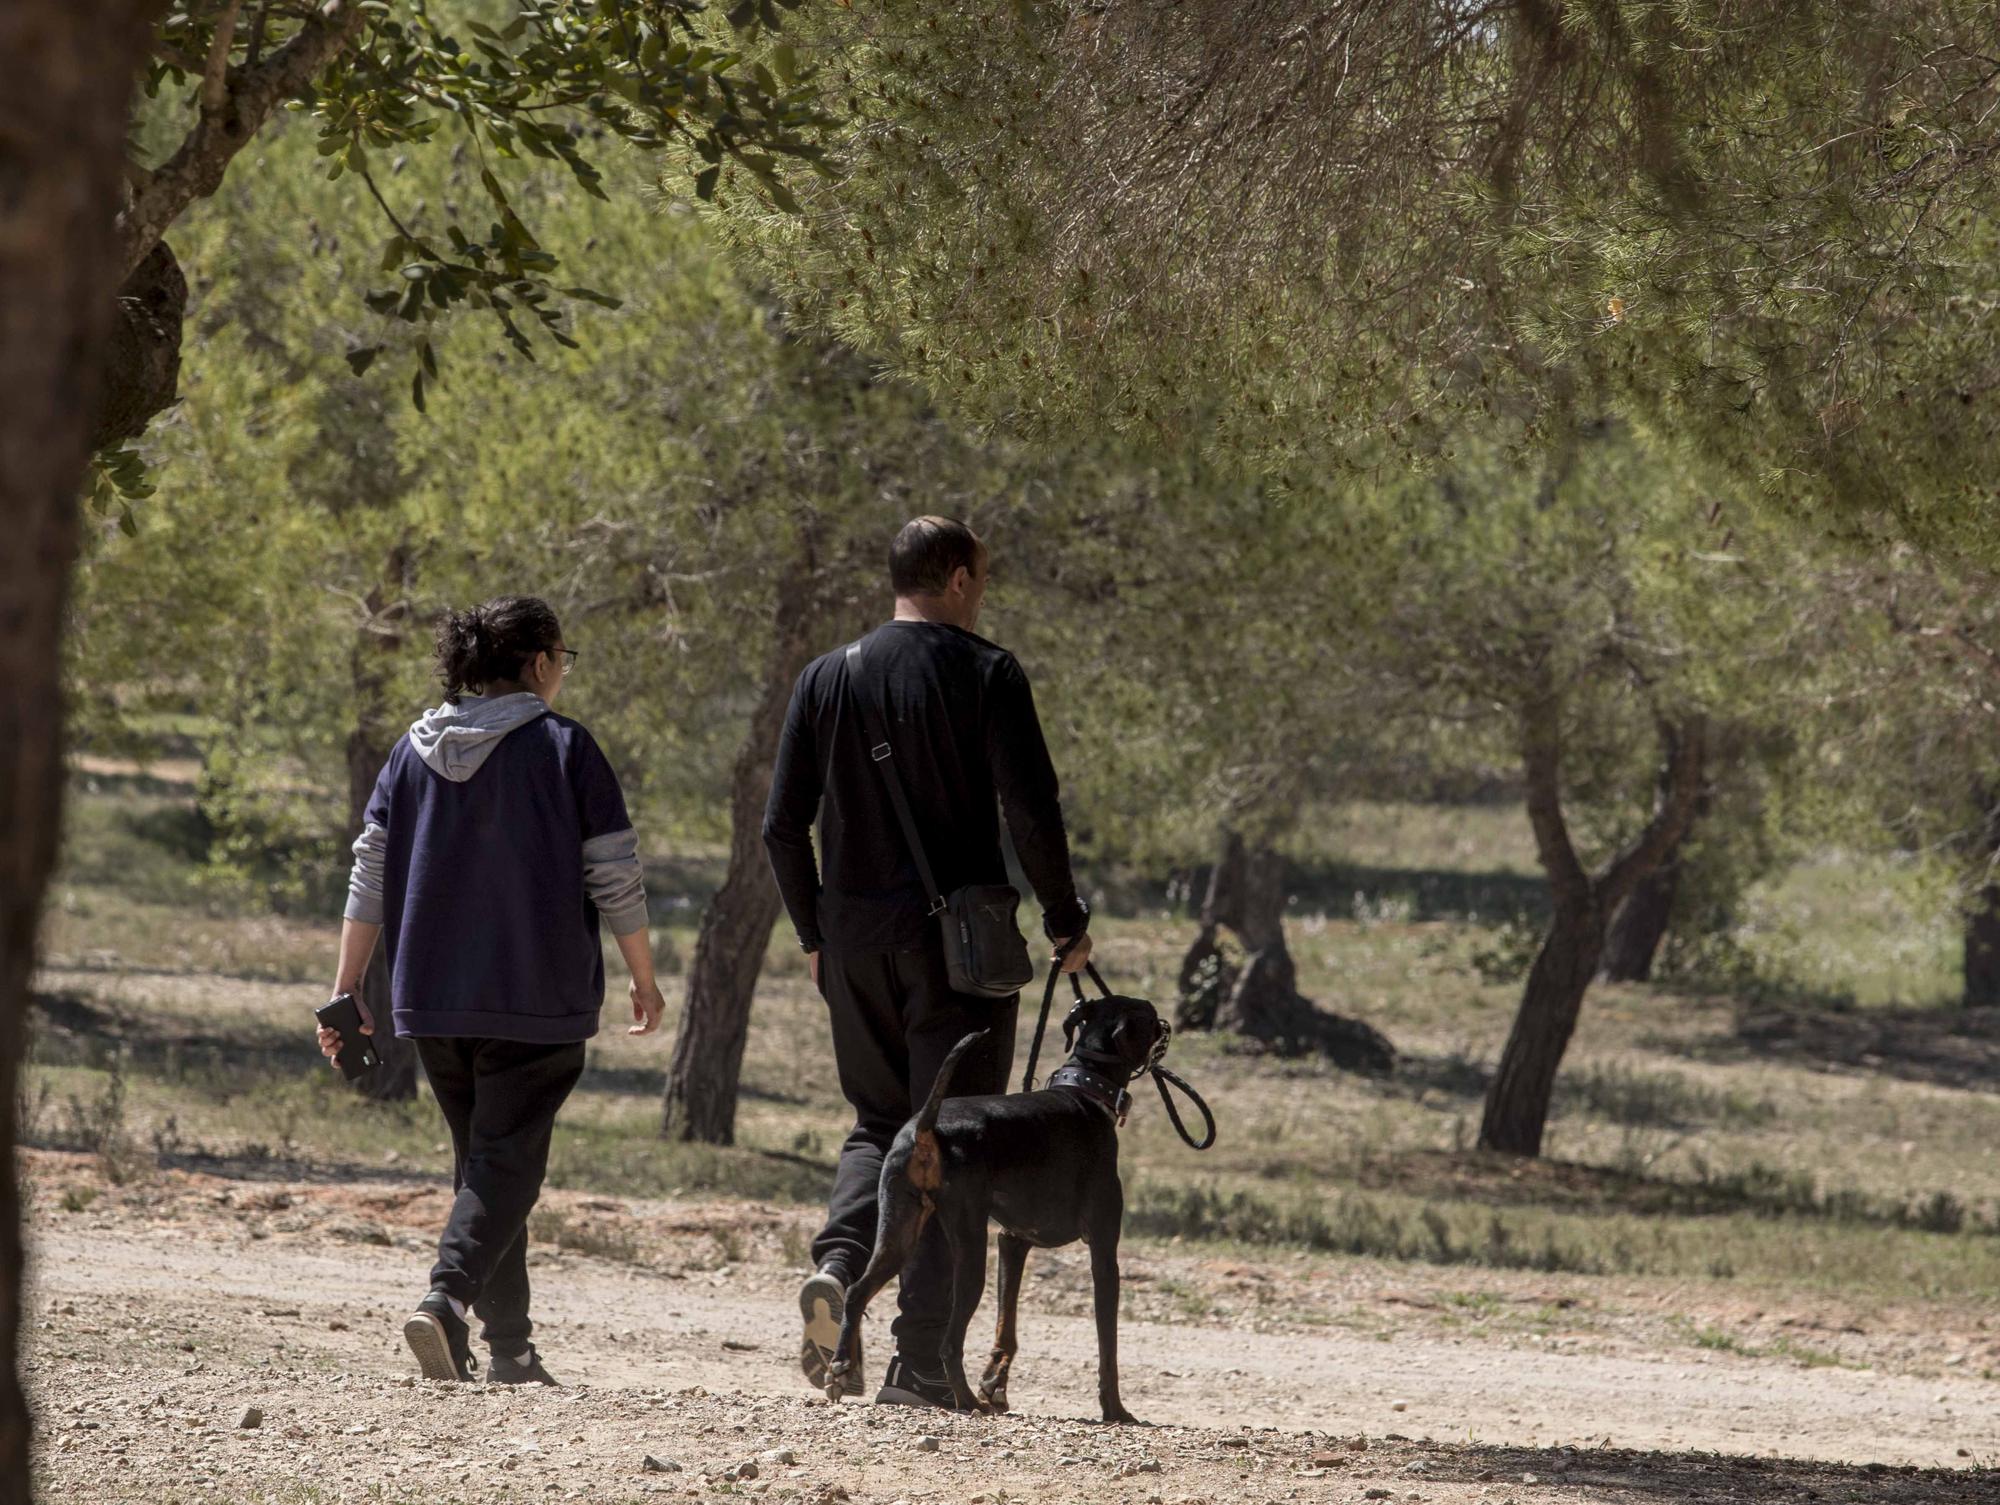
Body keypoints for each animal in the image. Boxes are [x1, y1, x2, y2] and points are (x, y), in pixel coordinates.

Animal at [824, 992, 1168, 1424]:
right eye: (1149, 1015)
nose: (1167, 1025)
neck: (1086, 1092)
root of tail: (927, 1127)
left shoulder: (1012, 1242)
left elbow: (1007, 1327)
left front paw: (996, 1385)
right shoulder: (1104, 1253)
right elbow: (1108, 1345)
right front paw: (1116, 1409)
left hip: (898, 1230)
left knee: (856, 1292)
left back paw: (839, 1370)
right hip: (968, 1247)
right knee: (949, 1341)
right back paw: (967, 1401)